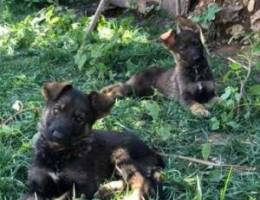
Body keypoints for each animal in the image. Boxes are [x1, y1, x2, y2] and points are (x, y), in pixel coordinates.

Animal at [22, 81, 165, 200]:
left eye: (79, 119)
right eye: (56, 110)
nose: (58, 136)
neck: (59, 155)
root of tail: (153, 152)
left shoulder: (83, 186)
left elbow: (63, 197)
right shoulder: (36, 186)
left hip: (121, 155)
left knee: (142, 181)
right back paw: (106, 190)